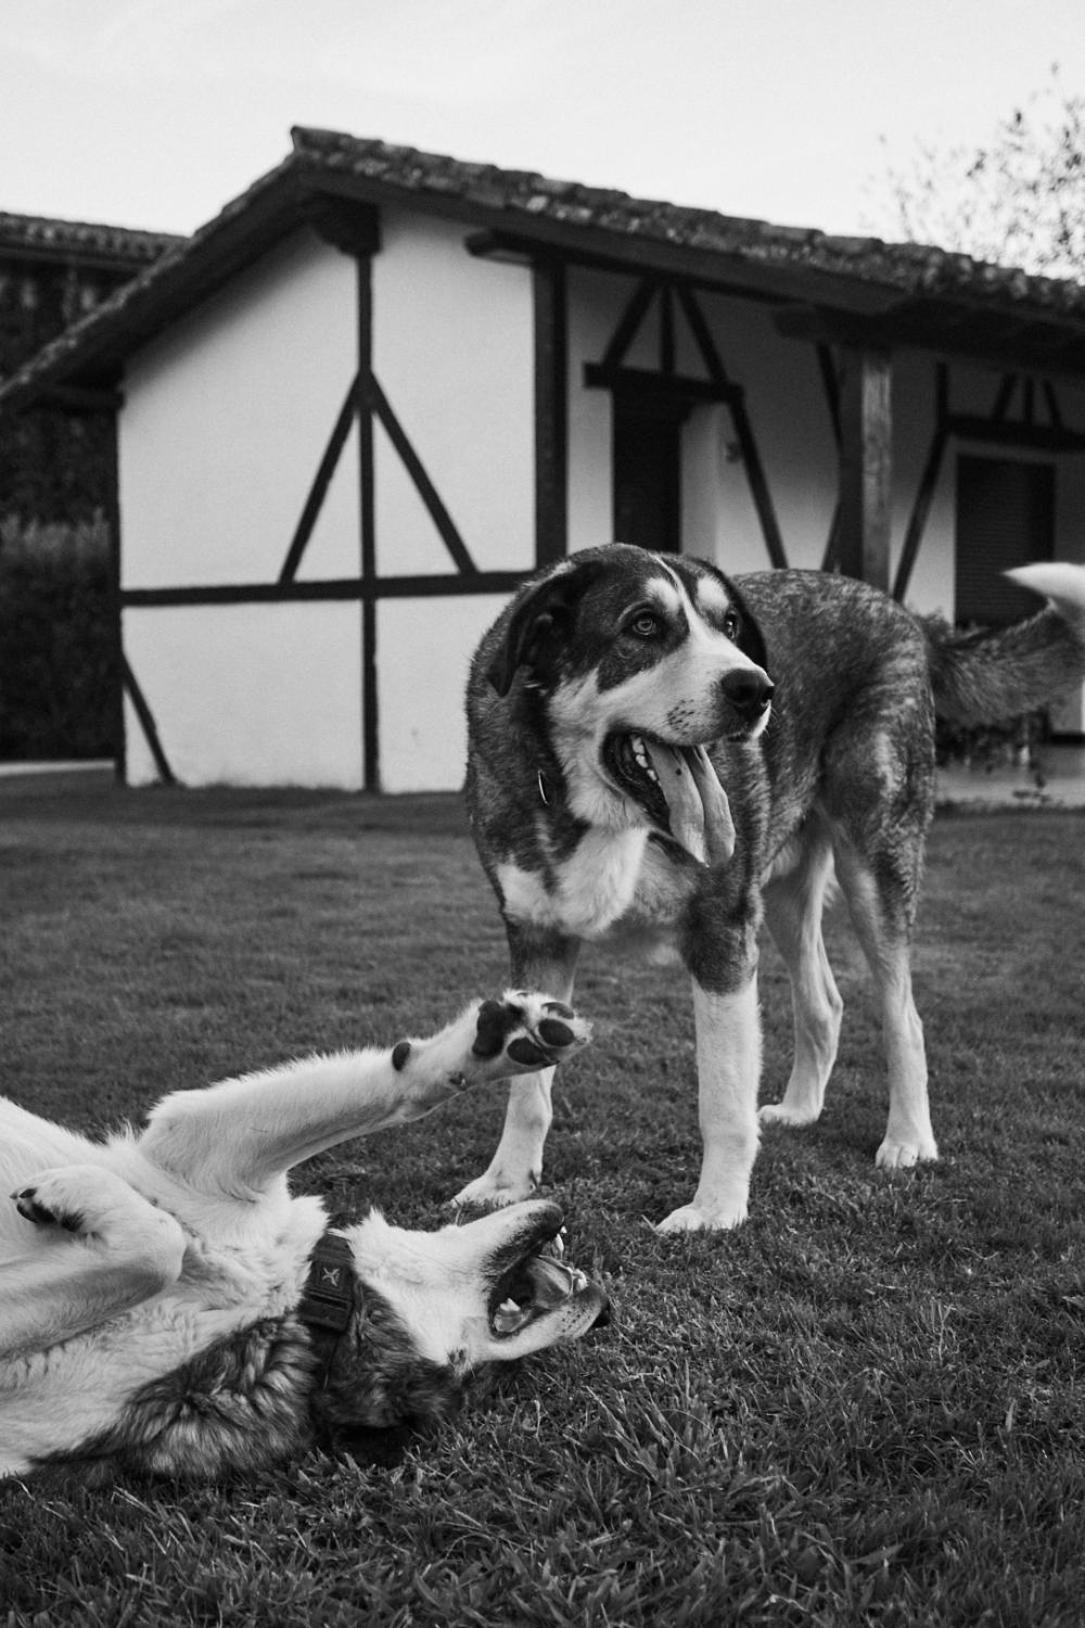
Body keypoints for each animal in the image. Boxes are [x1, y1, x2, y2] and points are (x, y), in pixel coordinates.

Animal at [0, 989, 602, 1491]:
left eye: (477, 1371)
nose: (605, 1309)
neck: (289, 1301)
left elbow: (157, 1248)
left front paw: (73, 1195)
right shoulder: (206, 1155)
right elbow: (405, 1093)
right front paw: (503, 1041)